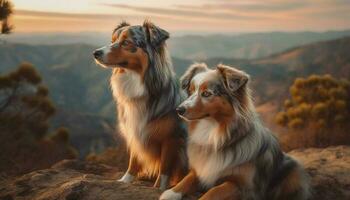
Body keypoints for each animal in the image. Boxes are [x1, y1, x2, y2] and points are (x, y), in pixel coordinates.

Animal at [91, 21, 187, 190]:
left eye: (126, 42)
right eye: (112, 40)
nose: (96, 53)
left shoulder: (172, 138)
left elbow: (164, 169)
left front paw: (159, 188)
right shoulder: (134, 130)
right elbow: (133, 161)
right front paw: (124, 181)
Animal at [160, 63, 310, 200]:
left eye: (207, 93)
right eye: (190, 92)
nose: (179, 110)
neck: (214, 133)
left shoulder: (244, 187)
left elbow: (214, 191)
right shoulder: (202, 171)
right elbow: (186, 179)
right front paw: (170, 193)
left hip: (292, 171)